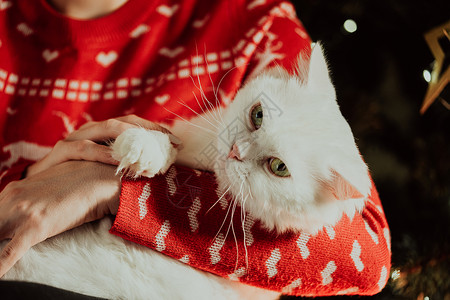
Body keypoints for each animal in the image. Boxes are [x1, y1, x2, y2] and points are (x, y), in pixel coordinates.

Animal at [2, 43, 370, 298]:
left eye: (278, 167)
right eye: (258, 115)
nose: (236, 151)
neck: (204, 166)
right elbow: (167, 142)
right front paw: (143, 148)